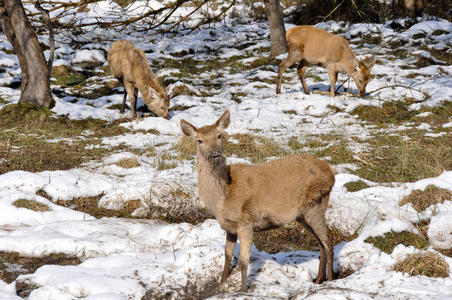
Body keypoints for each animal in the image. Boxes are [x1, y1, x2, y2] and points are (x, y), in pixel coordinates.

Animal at [180, 110, 336, 292]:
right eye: (199, 140)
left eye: (219, 136)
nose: (215, 154)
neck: (222, 199)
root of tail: (330, 172)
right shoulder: (229, 227)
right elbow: (227, 255)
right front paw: (221, 283)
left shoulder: (246, 221)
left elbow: (243, 261)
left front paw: (243, 290)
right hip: (303, 214)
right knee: (321, 242)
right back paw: (318, 280)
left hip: (316, 203)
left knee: (328, 239)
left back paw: (330, 280)